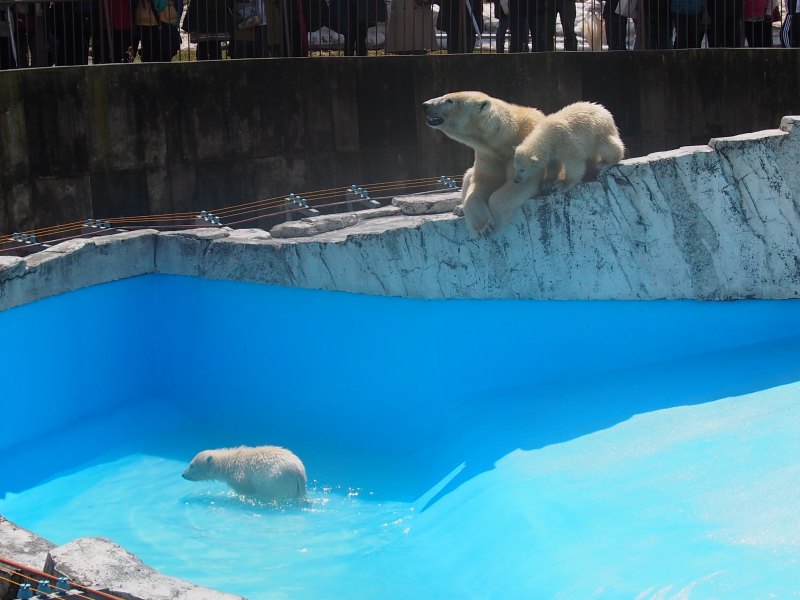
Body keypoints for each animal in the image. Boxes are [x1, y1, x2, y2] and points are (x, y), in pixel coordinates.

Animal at [422, 91, 548, 237]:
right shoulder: (487, 154)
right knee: (468, 175)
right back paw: (459, 208)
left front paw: (497, 222)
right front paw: (483, 226)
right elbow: (481, 183)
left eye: (449, 101)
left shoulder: (525, 147)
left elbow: (521, 181)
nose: (425, 105)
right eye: (445, 96)